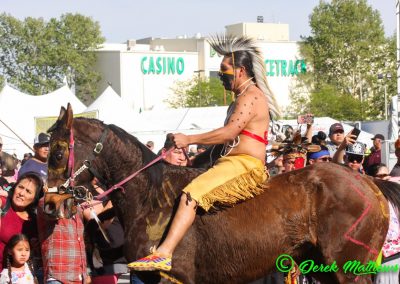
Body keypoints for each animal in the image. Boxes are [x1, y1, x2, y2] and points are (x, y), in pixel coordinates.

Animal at [44, 105, 400, 284]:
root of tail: (367, 182)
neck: (150, 197)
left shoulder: (176, 278)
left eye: (58, 152)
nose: (49, 203)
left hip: (347, 268)